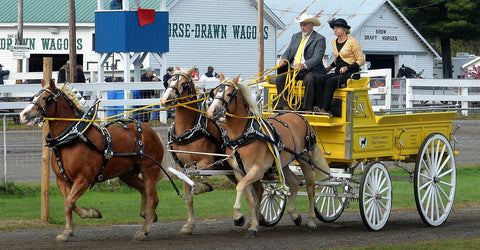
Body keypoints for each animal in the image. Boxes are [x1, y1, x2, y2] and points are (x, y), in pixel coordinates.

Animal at [19, 79, 165, 242]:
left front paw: (92, 213)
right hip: (127, 174)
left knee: (153, 198)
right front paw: (67, 231)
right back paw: (146, 215)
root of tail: (151, 131)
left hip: (149, 170)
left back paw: (143, 230)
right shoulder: (62, 180)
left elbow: (70, 202)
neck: (72, 137)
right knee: (143, 190)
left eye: (45, 98)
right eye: (33, 96)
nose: (24, 115)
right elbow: (67, 204)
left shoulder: (84, 178)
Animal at [161, 67, 264, 234]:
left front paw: (202, 187)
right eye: (168, 81)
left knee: (259, 190)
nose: (167, 98)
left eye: (183, 83)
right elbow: (188, 196)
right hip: (234, 171)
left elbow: (195, 177)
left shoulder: (207, 161)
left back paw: (257, 219)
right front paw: (189, 224)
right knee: (250, 189)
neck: (187, 129)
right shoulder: (180, 167)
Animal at [206, 74, 330, 236]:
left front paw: (238, 216)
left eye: (228, 94)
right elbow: (249, 197)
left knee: (310, 188)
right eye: (214, 93)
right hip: (283, 164)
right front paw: (253, 225)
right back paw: (294, 214)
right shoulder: (239, 172)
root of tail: (301, 117)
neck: (244, 134)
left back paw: (311, 221)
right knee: (294, 183)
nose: (211, 111)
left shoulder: (257, 170)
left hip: (304, 159)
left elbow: (240, 187)